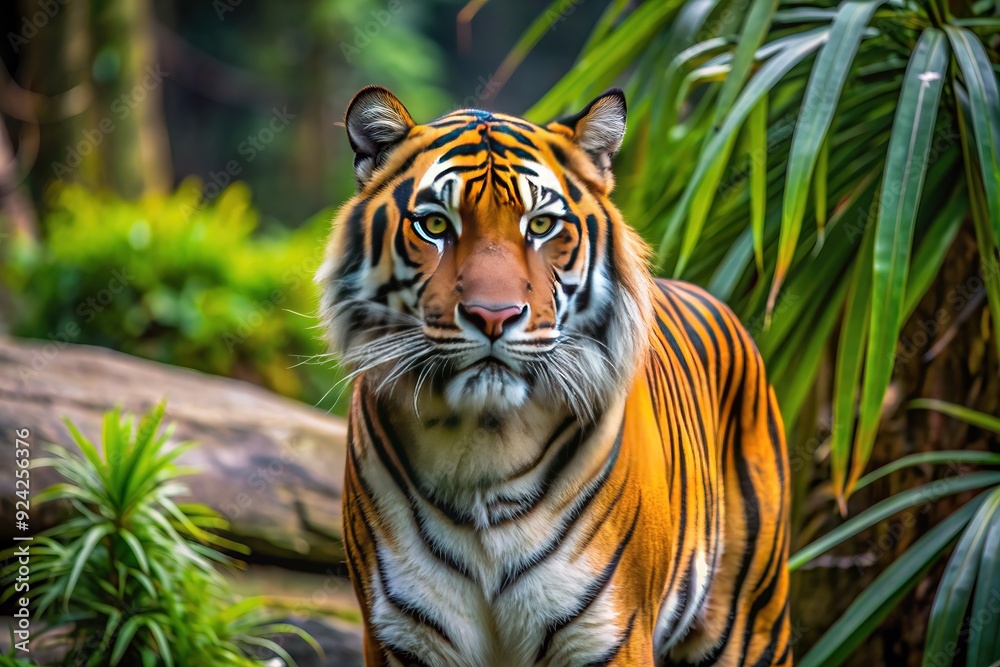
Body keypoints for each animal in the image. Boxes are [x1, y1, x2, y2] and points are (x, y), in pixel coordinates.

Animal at [316, 85, 791, 667]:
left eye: (541, 226)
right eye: (435, 225)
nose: (493, 315)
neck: (482, 446)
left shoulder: (610, 634)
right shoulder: (401, 637)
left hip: (750, 623)